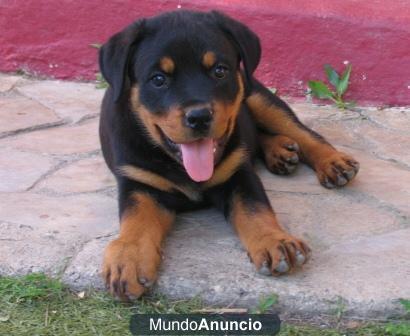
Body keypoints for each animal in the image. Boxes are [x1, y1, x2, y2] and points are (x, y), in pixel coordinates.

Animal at [98, 9, 358, 300]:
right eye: (158, 79)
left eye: (219, 71)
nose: (199, 116)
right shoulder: (138, 183)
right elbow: (136, 220)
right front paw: (128, 258)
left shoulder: (238, 173)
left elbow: (254, 209)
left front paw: (274, 241)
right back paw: (280, 151)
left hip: (258, 95)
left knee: (301, 132)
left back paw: (332, 163)